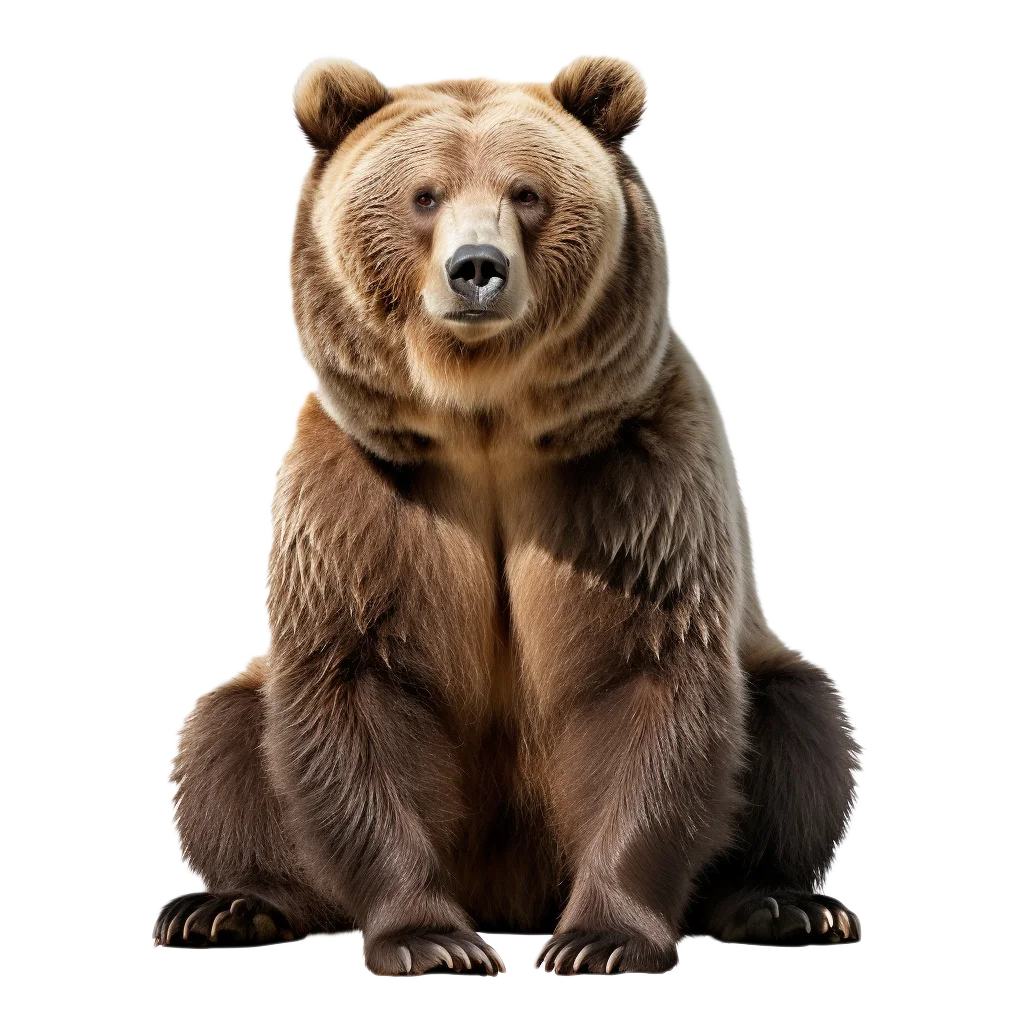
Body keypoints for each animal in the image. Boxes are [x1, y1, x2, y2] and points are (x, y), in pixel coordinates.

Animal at [153, 54, 862, 972]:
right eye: (424, 195)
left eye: (526, 192)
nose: (477, 267)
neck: (483, 419)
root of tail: (511, 894)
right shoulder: (369, 491)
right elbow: (357, 679)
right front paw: (431, 939)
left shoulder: (627, 481)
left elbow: (649, 674)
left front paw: (601, 939)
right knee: (224, 740)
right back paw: (227, 906)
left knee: (800, 728)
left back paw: (783, 904)